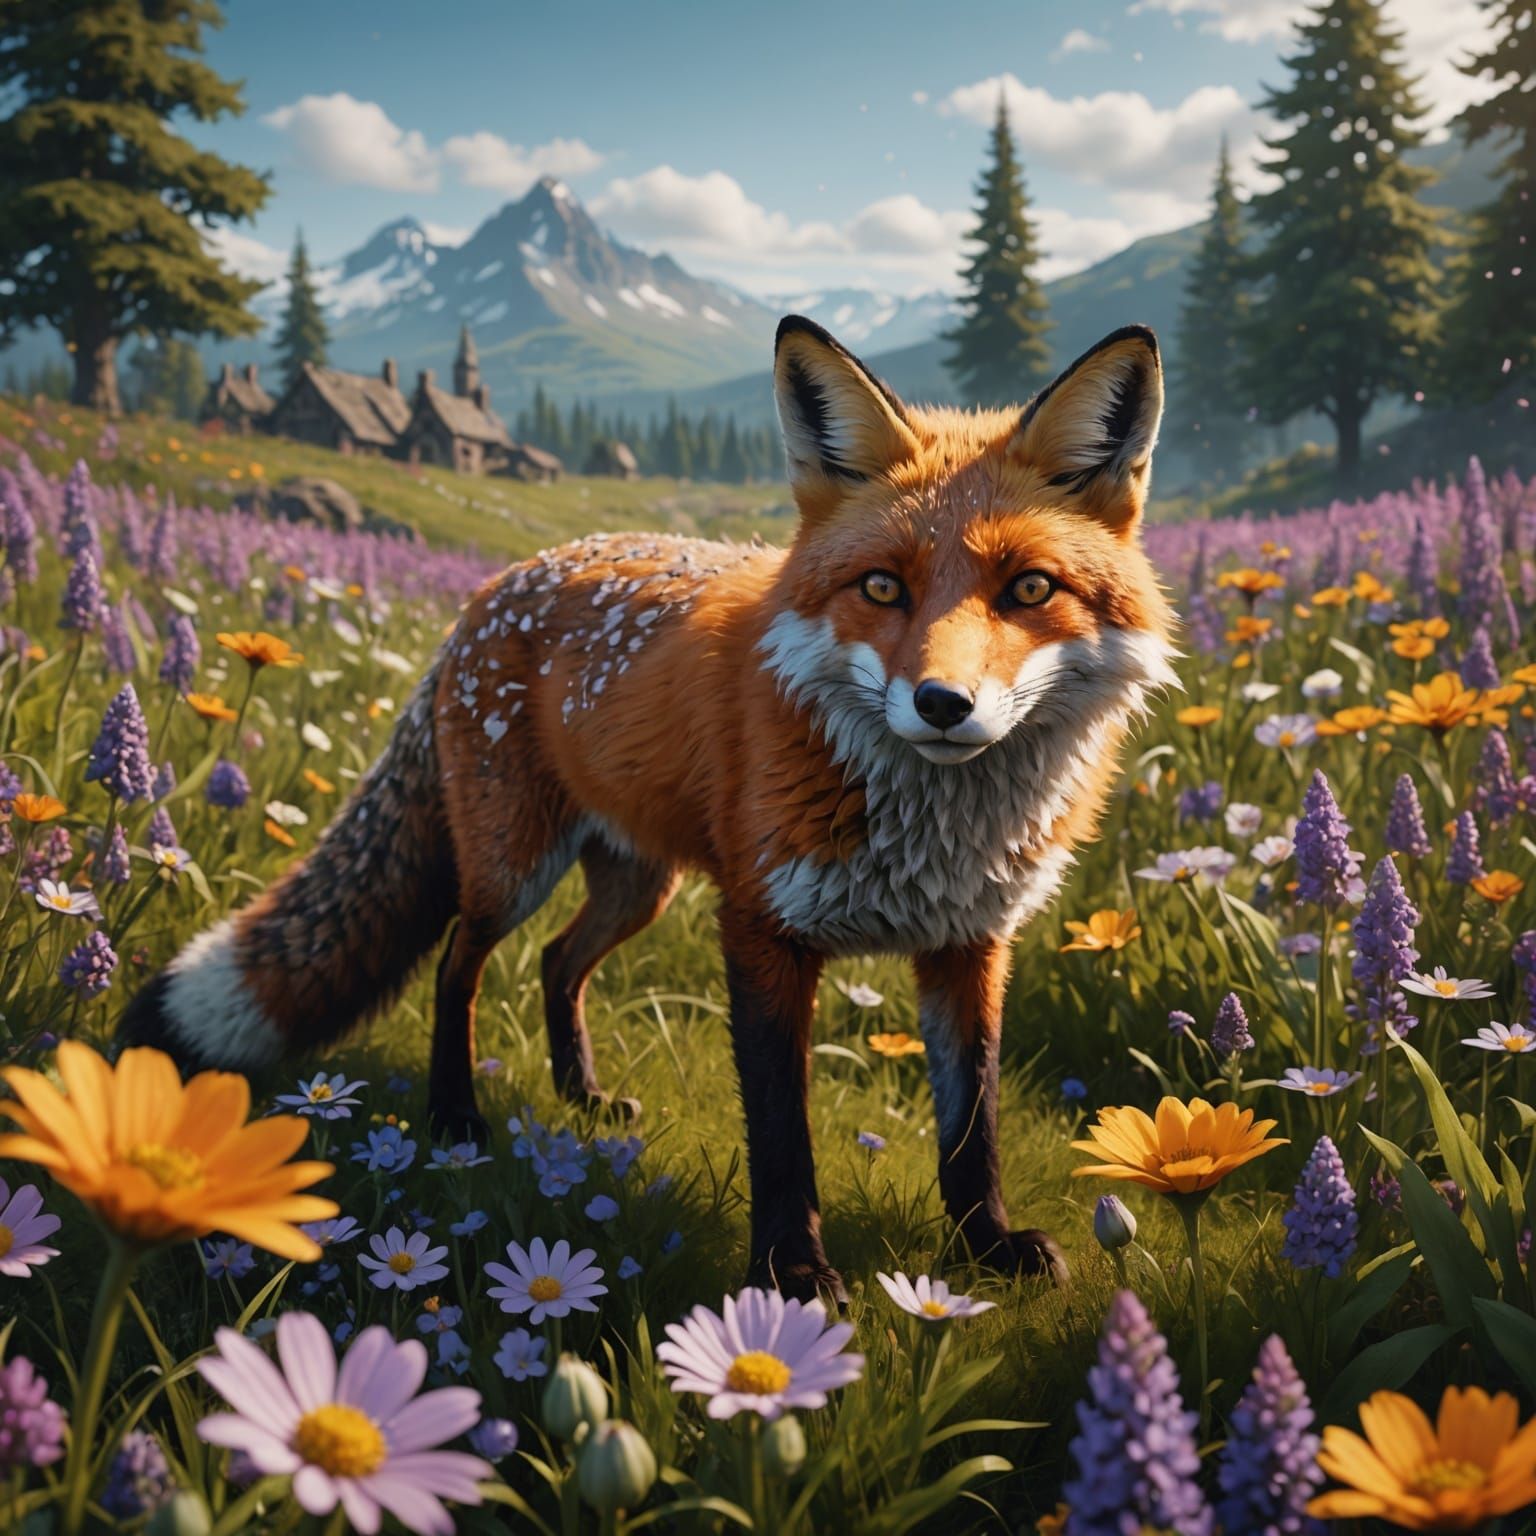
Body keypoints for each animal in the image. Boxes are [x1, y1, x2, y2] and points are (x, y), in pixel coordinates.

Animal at [121, 316, 1177, 1300]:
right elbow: (783, 1134)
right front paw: (791, 1273)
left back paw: (582, 1096)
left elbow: (972, 1124)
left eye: (1029, 588)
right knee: (459, 965)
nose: (943, 705)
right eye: (882, 586)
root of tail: (498, 584)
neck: (933, 834)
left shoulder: (970, 943)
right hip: (513, 869)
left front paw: (985, 1246)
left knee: (558, 964)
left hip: (640, 886)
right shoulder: (761, 930)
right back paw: (456, 1116)